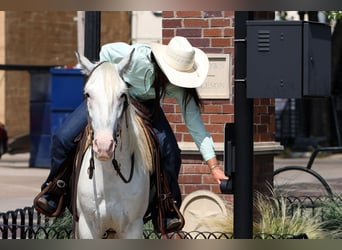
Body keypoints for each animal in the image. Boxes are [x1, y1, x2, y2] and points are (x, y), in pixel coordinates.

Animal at [75, 52, 154, 238]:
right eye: (87, 94)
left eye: (122, 95)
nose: (104, 146)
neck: (109, 175)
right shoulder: (87, 226)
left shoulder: (133, 227)